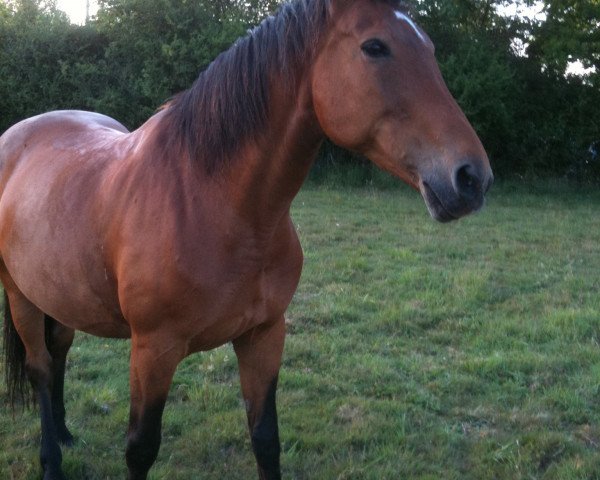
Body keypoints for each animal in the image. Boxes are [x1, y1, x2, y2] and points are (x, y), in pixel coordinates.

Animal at [1, 0, 492, 480]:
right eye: (375, 47)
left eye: (428, 47)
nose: (472, 178)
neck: (214, 204)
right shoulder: (153, 351)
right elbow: (140, 449)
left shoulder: (264, 336)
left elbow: (265, 440)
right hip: (21, 296)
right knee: (40, 367)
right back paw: (51, 462)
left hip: (61, 295)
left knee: (59, 353)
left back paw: (65, 434)